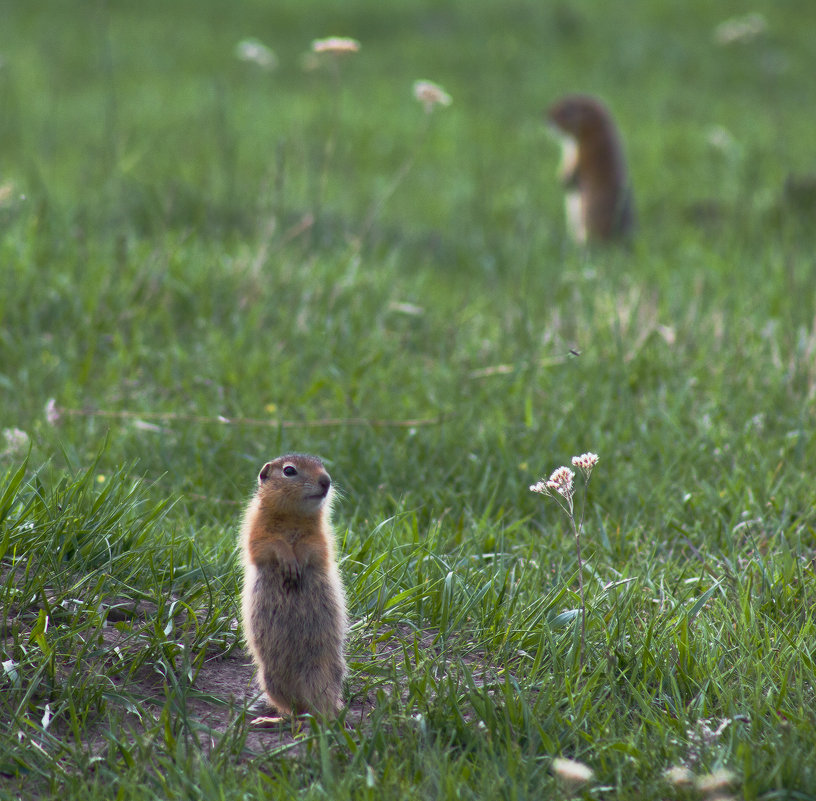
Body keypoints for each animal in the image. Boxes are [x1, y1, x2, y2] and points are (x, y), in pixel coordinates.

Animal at [239, 450, 348, 720]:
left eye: (322, 465)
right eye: (289, 471)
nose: (326, 481)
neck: (293, 516)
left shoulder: (320, 536)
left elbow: (313, 548)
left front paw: (298, 560)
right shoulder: (257, 530)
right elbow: (269, 545)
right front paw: (289, 562)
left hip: (320, 670)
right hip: (271, 679)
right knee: (295, 710)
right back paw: (271, 719)